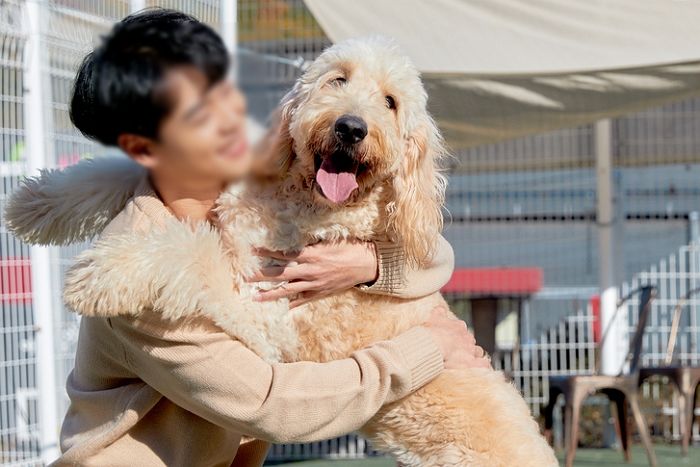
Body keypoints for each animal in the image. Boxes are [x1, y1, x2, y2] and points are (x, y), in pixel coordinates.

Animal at [4, 37, 552, 467]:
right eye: (337, 79)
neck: (307, 204)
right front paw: (33, 203)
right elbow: (114, 171)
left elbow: (192, 251)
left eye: (391, 102)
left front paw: (100, 274)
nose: (351, 127)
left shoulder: (269, 320)